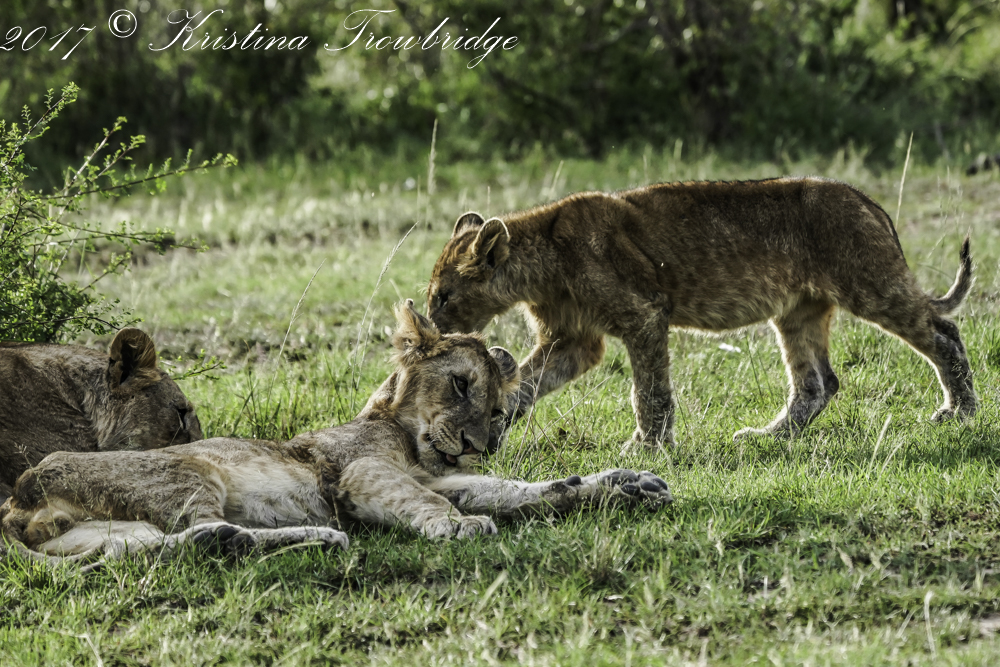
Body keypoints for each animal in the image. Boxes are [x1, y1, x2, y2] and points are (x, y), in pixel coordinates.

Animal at [426, 177, 976, 448]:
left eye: (444, 295)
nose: (433, 327)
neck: (539, 263)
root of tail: (869, 201)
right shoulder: (575, 341)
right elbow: (526, 385)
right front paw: (493, 427)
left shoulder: (643, 314)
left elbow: (649, 391)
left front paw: (649, 447)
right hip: (797, 310)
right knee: (818, 382)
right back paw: (769, 438)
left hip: (870, 283)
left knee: (943, 331)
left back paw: (961, 412)